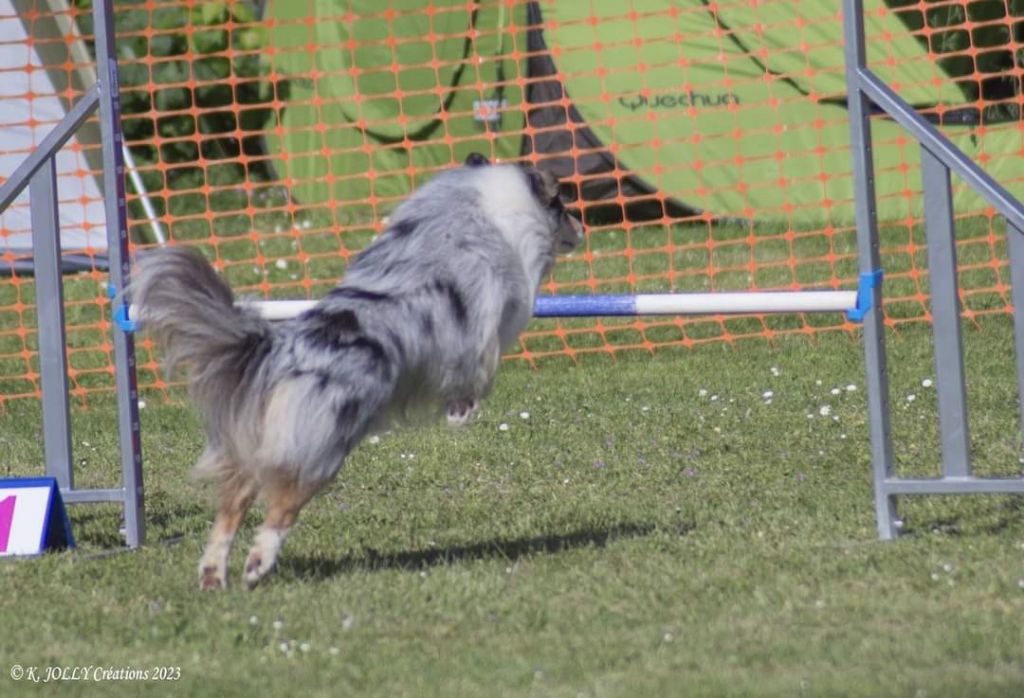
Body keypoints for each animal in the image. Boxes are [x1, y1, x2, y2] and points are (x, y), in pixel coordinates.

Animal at [132, 153, 585, 585]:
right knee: (281, 506)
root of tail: (279, 351)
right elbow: (476, 364)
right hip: (321, 444)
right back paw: (258, 564)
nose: (582, 226)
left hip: (250, 442)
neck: (478, 200)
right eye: (562, 205)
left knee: (231, 508)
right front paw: (462, 408)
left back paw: (213, 574)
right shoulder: (485, 317)